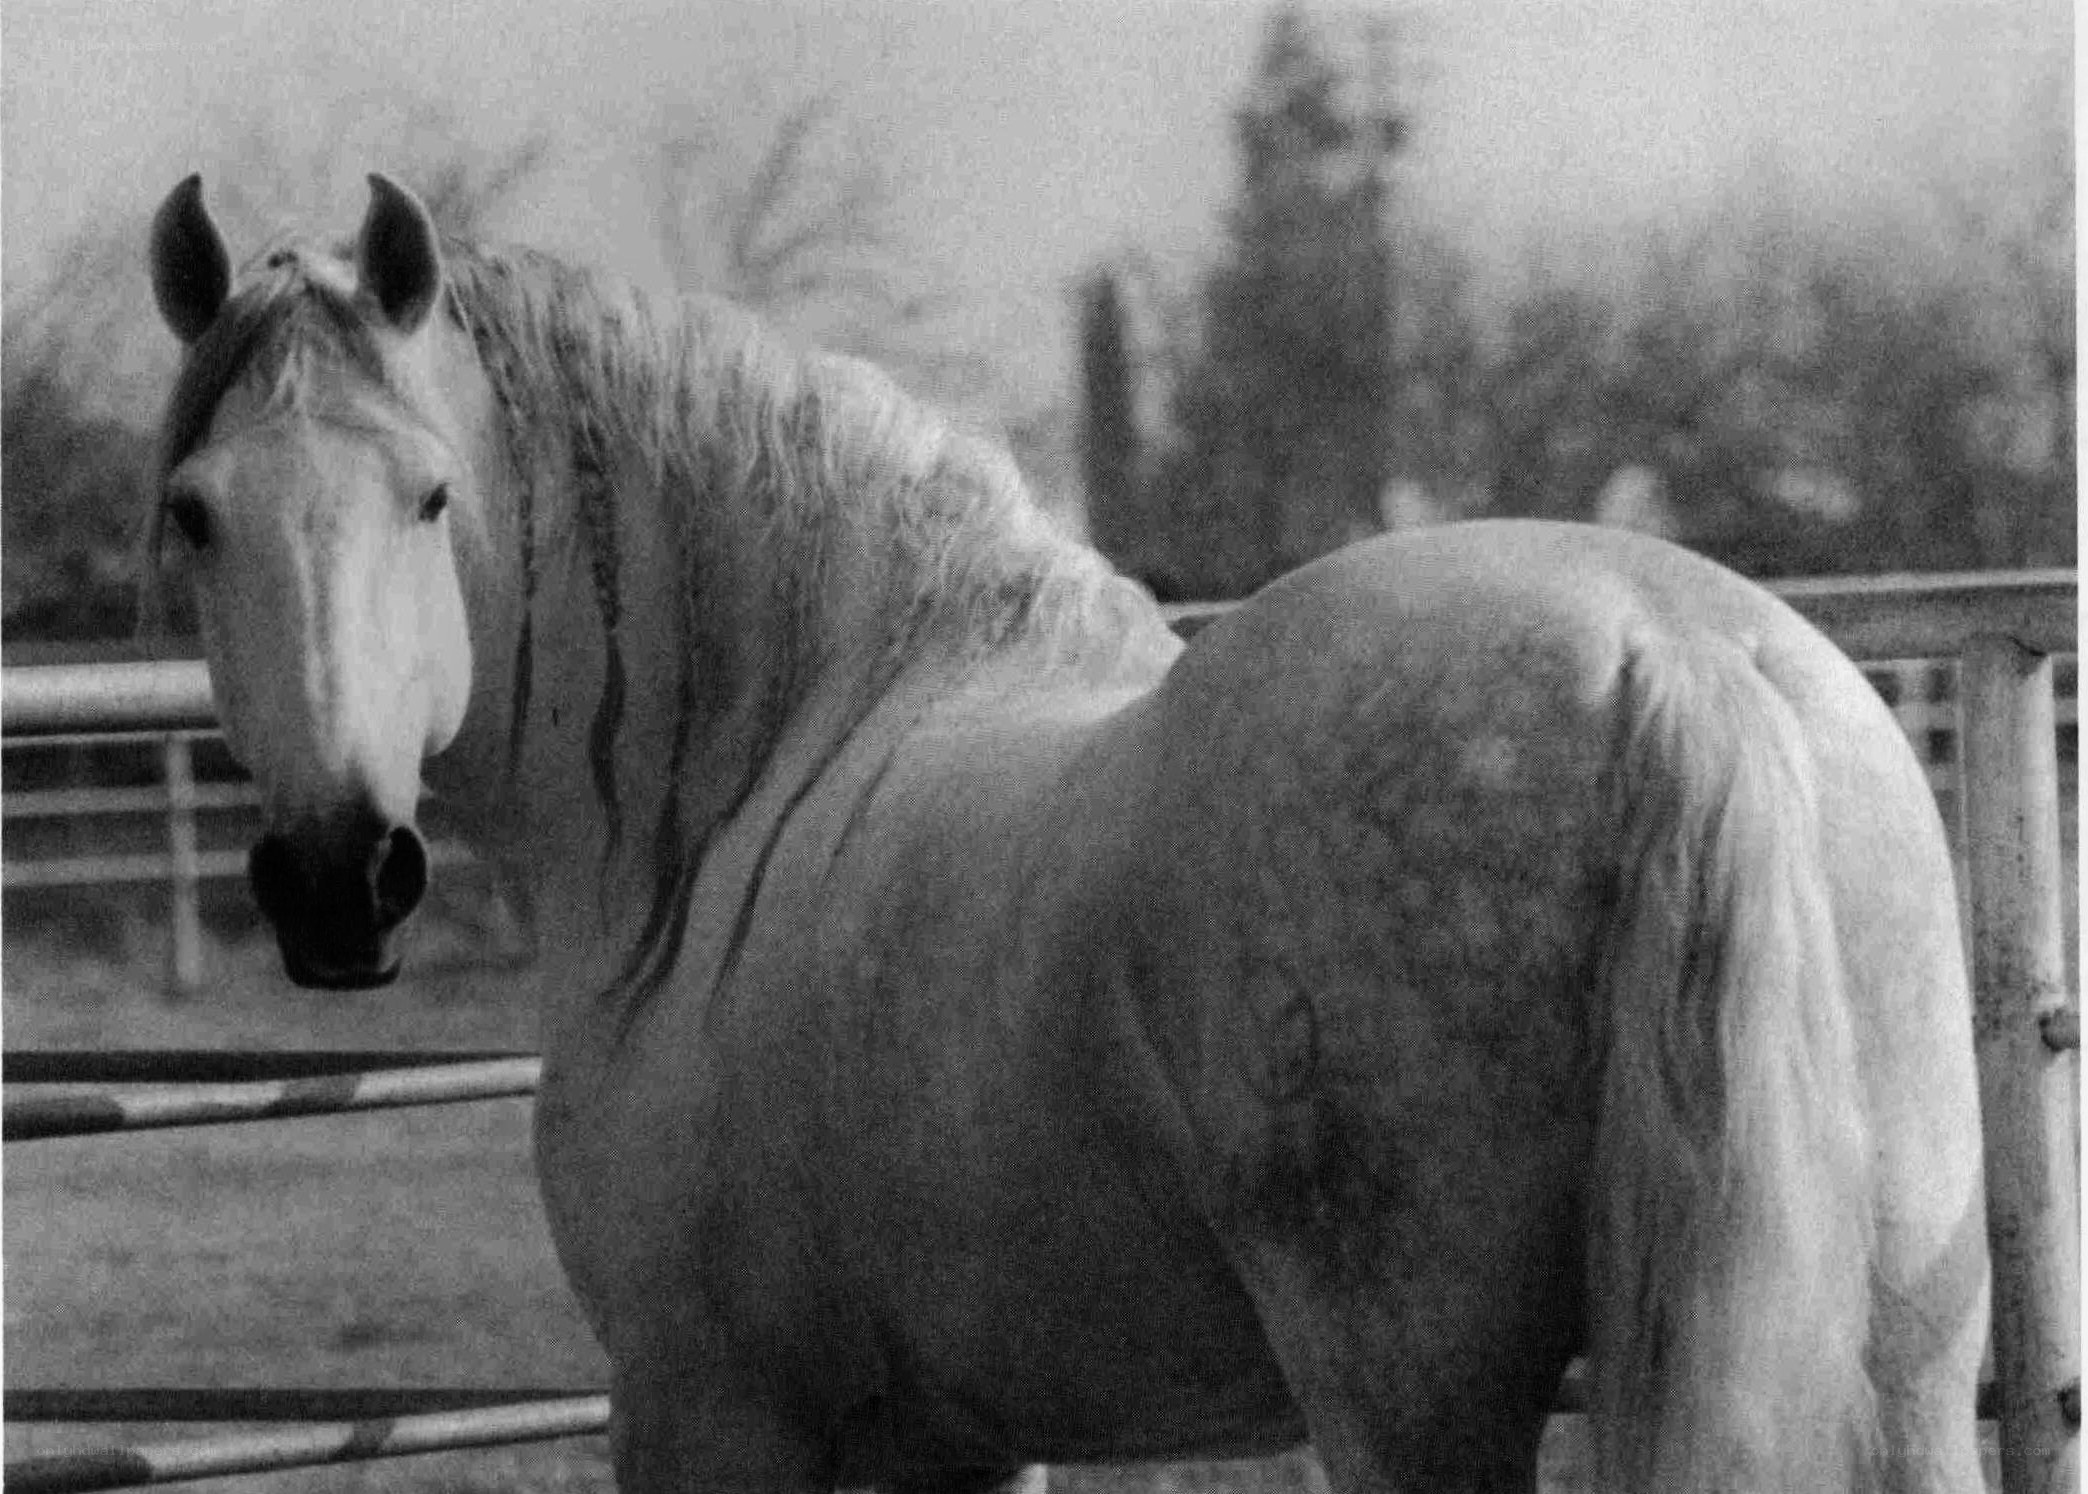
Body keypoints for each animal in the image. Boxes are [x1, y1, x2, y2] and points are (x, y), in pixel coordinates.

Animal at [145, 172, 1990, 1494]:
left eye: (430, 496)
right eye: (195, 513)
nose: (336, 878)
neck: (746, 779)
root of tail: (1673, 662)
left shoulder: (705, 1407)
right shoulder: (950, 1434)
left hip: (1415, 1388)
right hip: (1903, 1364)